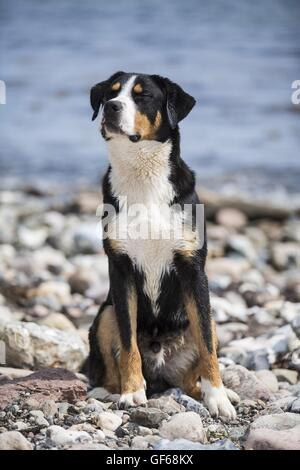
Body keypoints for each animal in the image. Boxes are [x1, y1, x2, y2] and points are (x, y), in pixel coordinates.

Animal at [86, 72, 239, 418]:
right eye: (110, 94)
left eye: (142, 96)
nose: (112, 107)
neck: (143, 177)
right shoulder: (121, 269)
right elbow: (128, 344)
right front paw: (132, 392)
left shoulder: (192, 269)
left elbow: (208, 348)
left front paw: (218, 398)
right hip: (105, 314)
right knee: (112, 364)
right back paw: (109, 391)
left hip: (207, 320)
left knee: (192, 375)